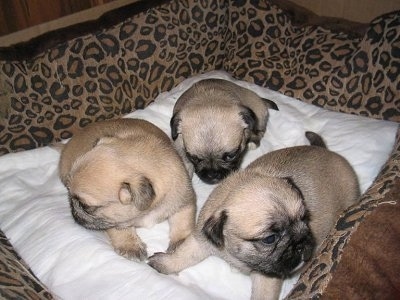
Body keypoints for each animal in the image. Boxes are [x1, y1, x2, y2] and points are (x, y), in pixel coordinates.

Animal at [58, 118, 196, 262]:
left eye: (86, 206)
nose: (73, 208)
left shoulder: (184, 203)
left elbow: (182, 222)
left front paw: (181, 243)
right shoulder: (113, 222)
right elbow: (120, 230)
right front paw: (130, 246)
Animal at [148, 132, 360, 300]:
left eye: (304, 219)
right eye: (270, 239)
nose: (301, 242)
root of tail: (328, 151)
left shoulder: (267, 278)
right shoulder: (201, 240)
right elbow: (183, 254)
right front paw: (165, 263)